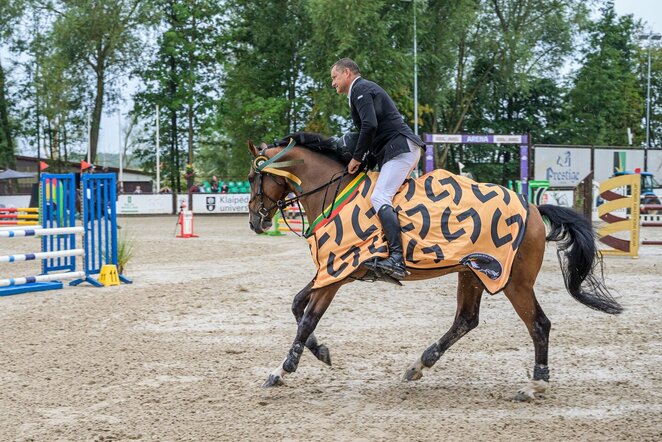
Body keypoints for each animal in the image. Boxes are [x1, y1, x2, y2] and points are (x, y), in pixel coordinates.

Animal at [246, 139, 624, 400]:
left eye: (253, 176)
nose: (254, 222)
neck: (333, 191)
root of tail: (532, 207)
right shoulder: (332, 271)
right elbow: (297, 306)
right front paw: (321, 352)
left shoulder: (337, 273)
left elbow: (308, 317)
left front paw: (281, 371)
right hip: (472, 273)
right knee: (466, 320)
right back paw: (419, 364)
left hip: (514, 283)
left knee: (539, 325)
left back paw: (535, 385)